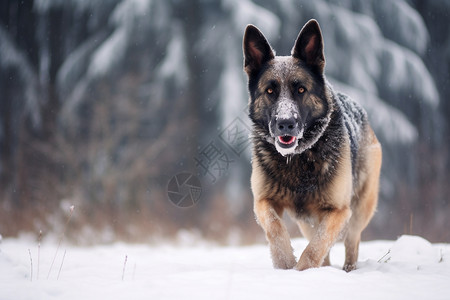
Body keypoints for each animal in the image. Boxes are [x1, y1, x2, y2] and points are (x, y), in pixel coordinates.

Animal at [244, 19, 382, 270]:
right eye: (270, 91)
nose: (285, 124)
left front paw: (301, 270)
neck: (298, 157)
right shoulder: (263, 201)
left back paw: (348, 269)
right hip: (307, 221)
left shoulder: (338, 211)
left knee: (351, 242)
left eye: (301, 89)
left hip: (359, 210)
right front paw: (284, 263)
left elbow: (316, 246)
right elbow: (275, 227)